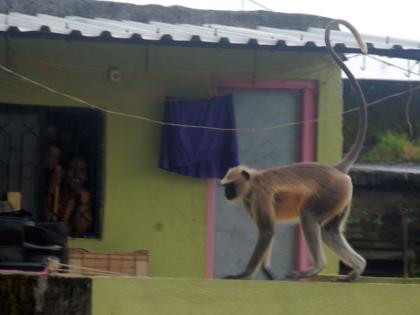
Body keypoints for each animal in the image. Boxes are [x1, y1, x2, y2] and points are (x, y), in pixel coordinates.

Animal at [220, 18, 368, 282]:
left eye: (230, 185)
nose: (226, 194)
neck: (254, 180)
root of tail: (336, 169)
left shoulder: (260, 193)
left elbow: (267, 232)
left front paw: (244, 274)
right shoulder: (249, 198)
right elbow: (266, 232)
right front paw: (267, 271)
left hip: (332, 192)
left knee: (309, 217)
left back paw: (316, 267)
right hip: (341, 197)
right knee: (329, 230)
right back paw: (355, 270)